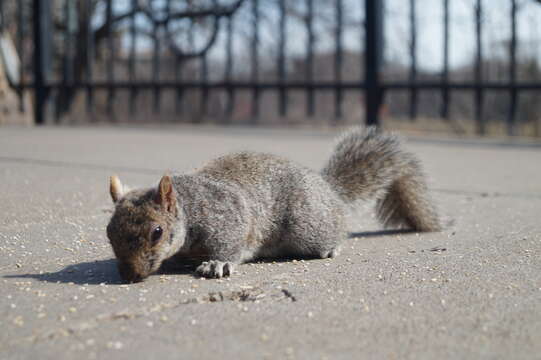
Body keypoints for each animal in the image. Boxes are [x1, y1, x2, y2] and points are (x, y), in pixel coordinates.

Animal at [105, 128, 438, 282]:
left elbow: (230, 246)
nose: (129, 275)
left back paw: (331, 247)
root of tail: (329, 190)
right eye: (108, 233)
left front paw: (217, 264)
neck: (191, 205)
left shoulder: (229, 218)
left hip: (308, 226)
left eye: (157, 232)